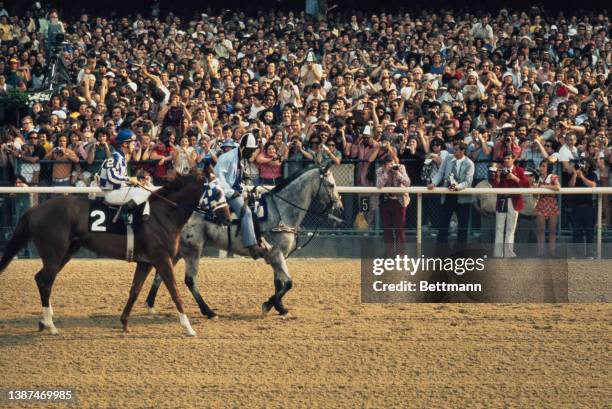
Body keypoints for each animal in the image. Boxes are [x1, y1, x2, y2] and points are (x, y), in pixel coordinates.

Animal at [144, 164, 344, 318]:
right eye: (331, 184)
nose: (340, 207)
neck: (281, 210)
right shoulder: (277, 255)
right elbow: (288, 283)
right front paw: (268, 305)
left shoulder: (276, 256)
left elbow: (279, 283)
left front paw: (280, 308)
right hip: (193, 250)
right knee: (190, 280)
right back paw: (208, 311)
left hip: (179, 251)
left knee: (161, 274)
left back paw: (150, 304)